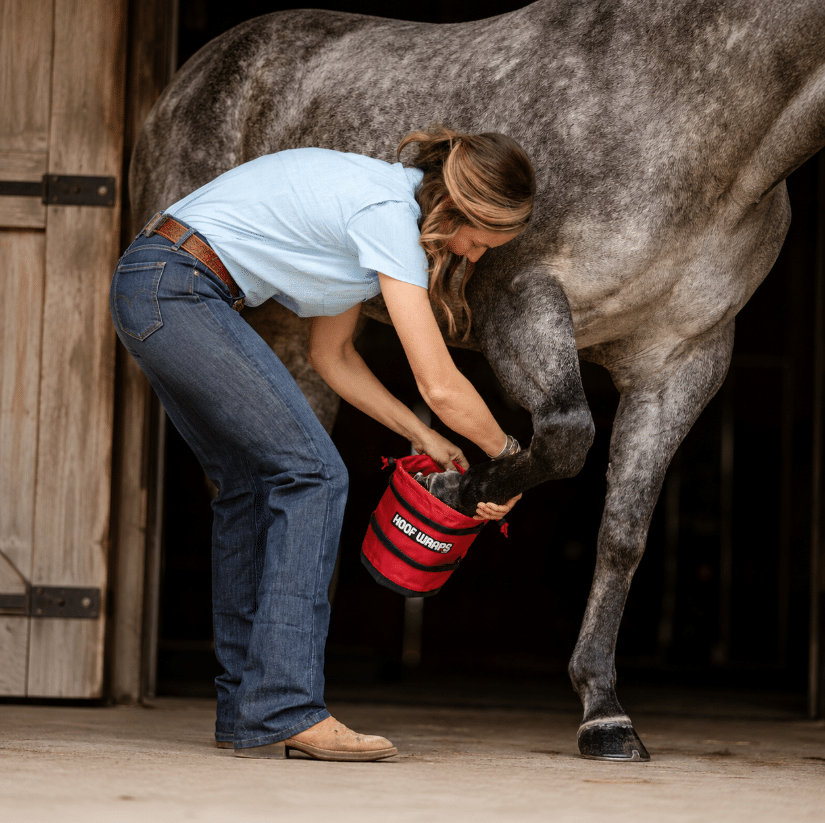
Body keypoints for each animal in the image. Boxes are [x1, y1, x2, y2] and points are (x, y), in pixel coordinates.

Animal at [130, 0, 825, 760]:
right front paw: (454, 488)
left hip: (296, 336)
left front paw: (604, 712)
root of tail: (190, 76)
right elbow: (564, 437)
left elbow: (623, 536)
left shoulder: (683, 362)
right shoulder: (520, 303)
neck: (692, 107)